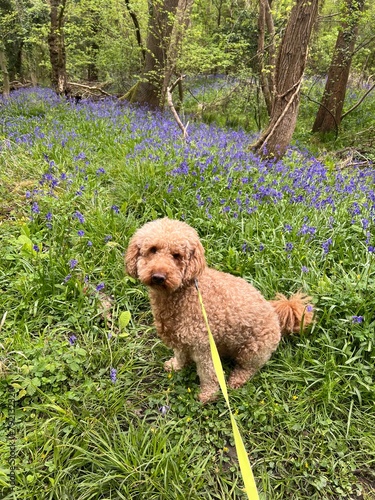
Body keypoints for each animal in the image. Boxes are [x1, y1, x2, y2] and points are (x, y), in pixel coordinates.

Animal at [125, 218, 312, 402]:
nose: (158, 276)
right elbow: (180, 355)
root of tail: (276, 316)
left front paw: (208, 395)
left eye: (176, 255)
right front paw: (175, 366)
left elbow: (208, 373)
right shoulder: (181, 338)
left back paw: (236, 379)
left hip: (253, 351)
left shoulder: (203, 346)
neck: (185, 293)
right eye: (152, 249)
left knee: (248, 368)